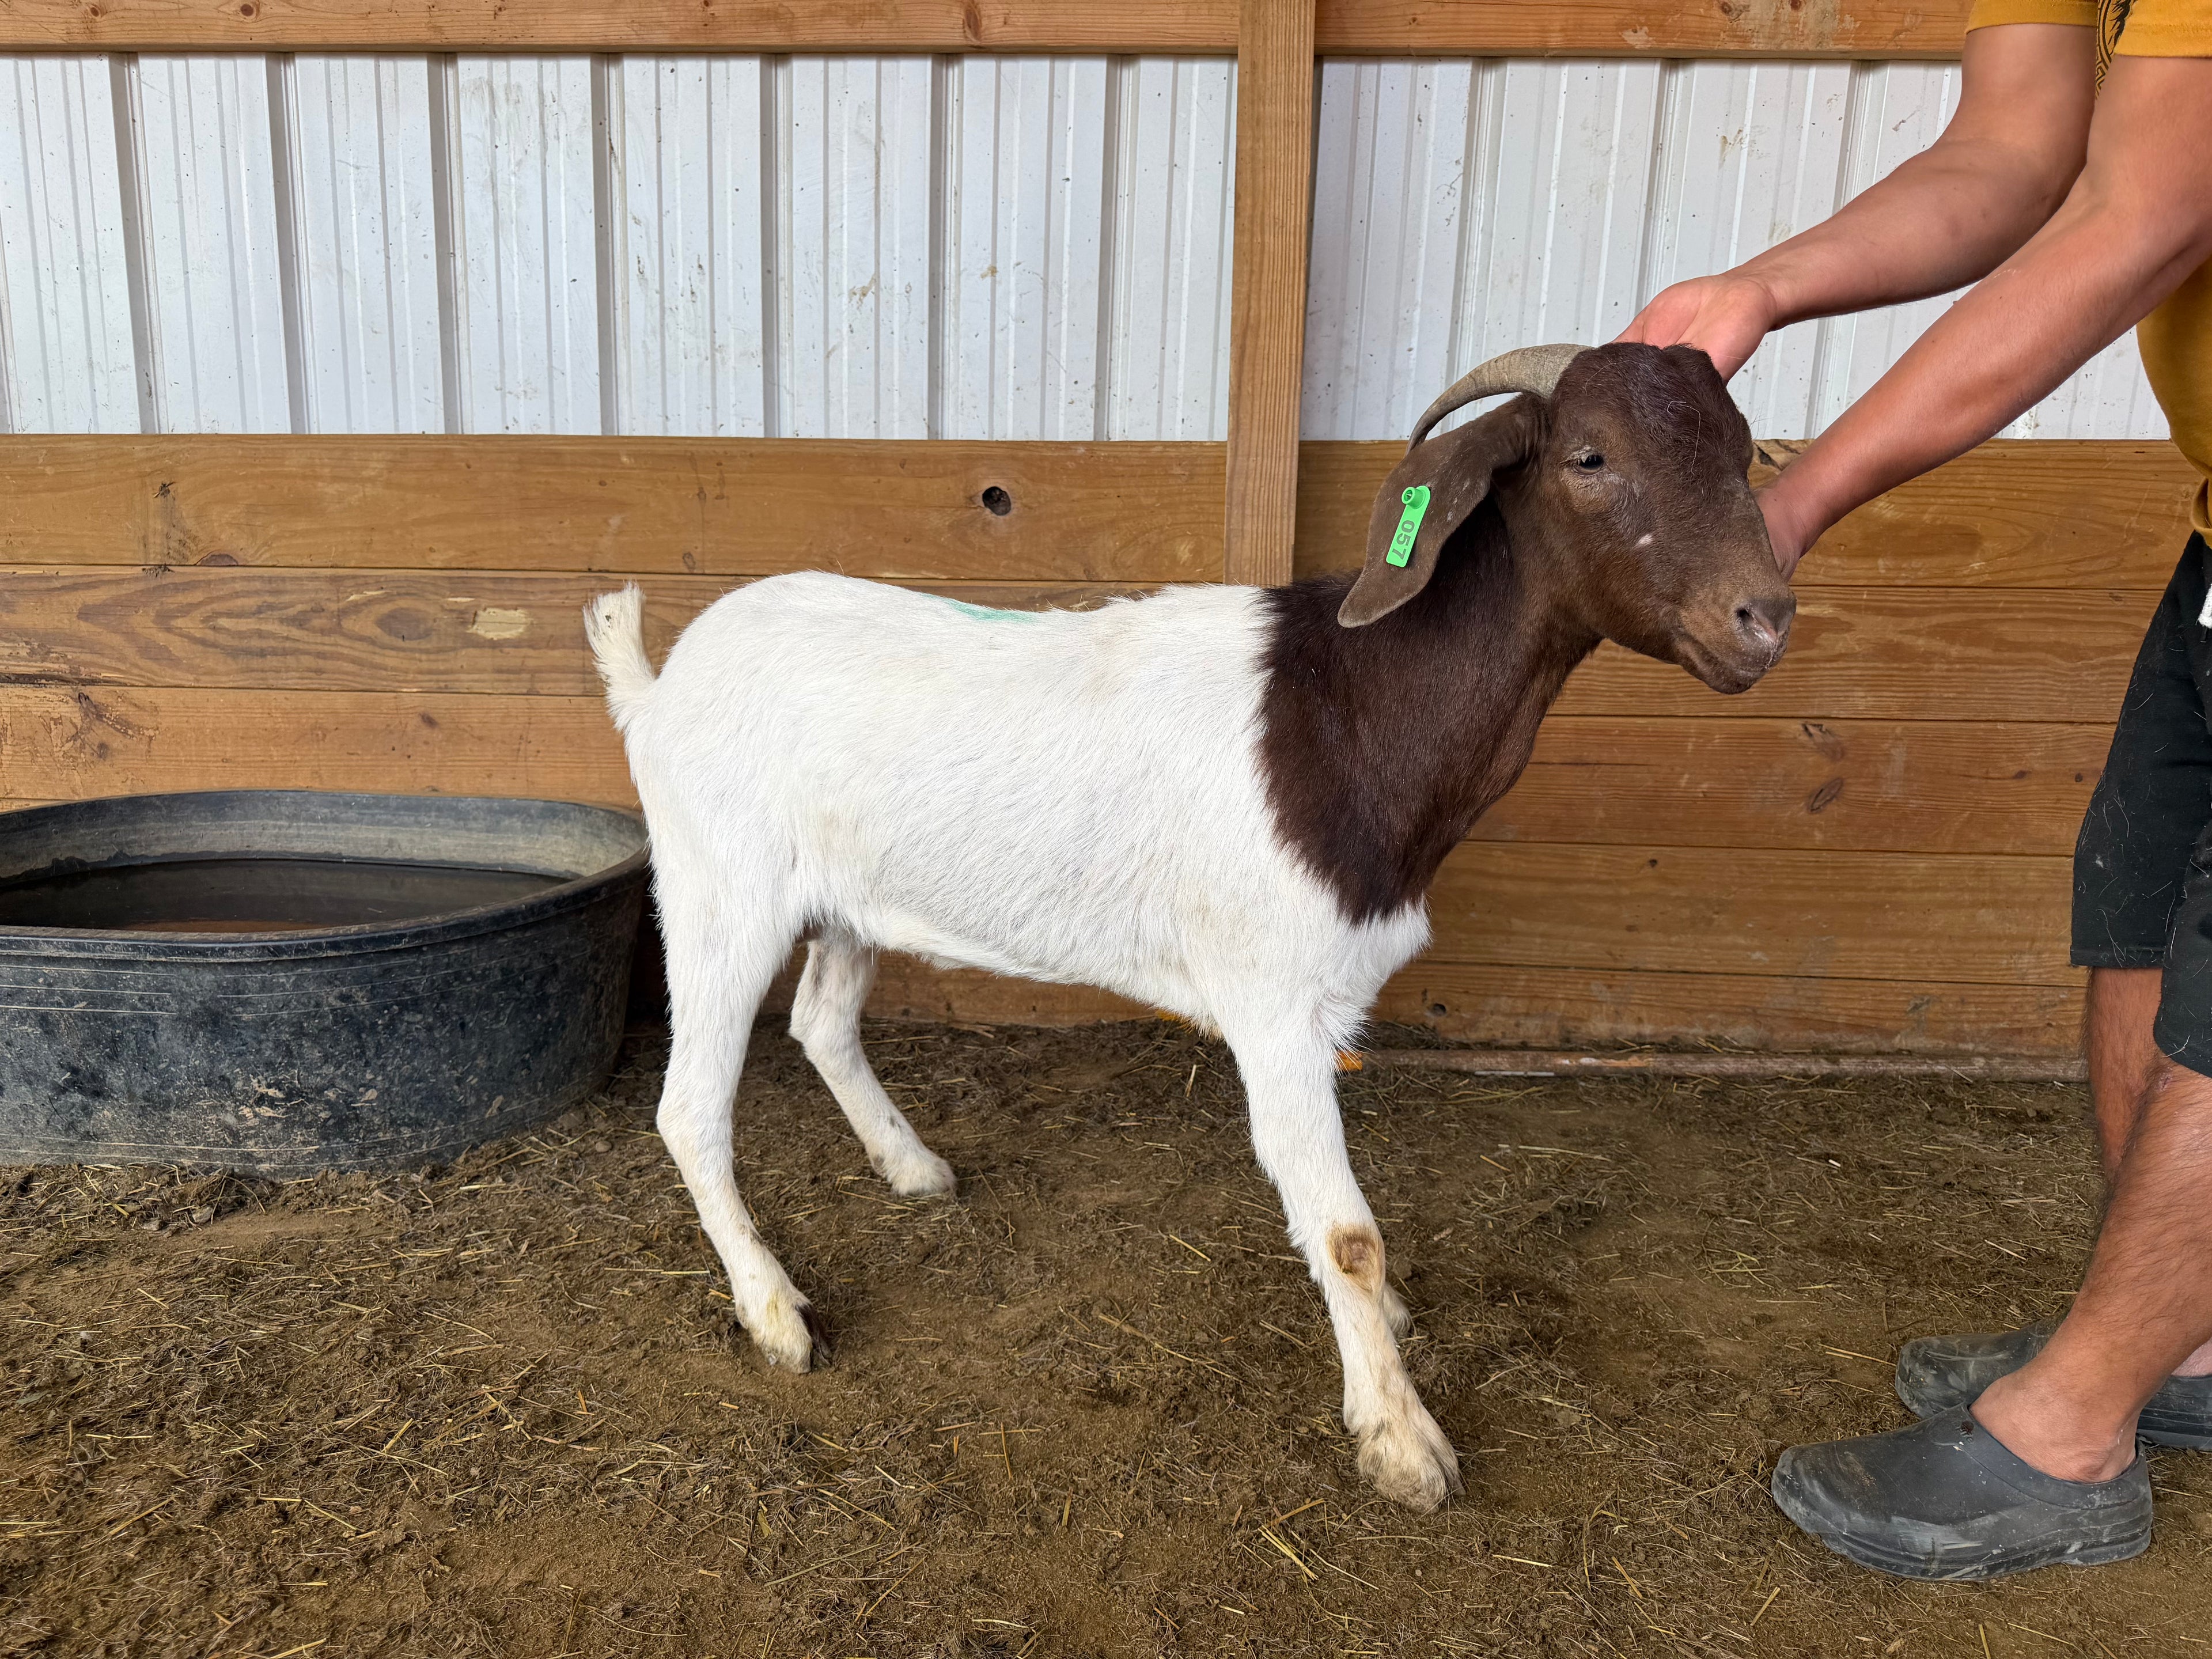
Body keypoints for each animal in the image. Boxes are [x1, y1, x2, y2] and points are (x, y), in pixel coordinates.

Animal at [585, 341, 1795, 1512]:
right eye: (1589, 457)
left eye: (1745, 451)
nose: (1766, 618)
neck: (1349, 708)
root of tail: (655, 685)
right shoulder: (1274, 1001)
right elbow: (1348, 1233)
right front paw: (1402, 1441)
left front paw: (1392, 1341)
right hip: (719, 887)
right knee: (691, 1109)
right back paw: (776, 1311)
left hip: (846, 901)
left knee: (824, 1024)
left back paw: (912, 1167)